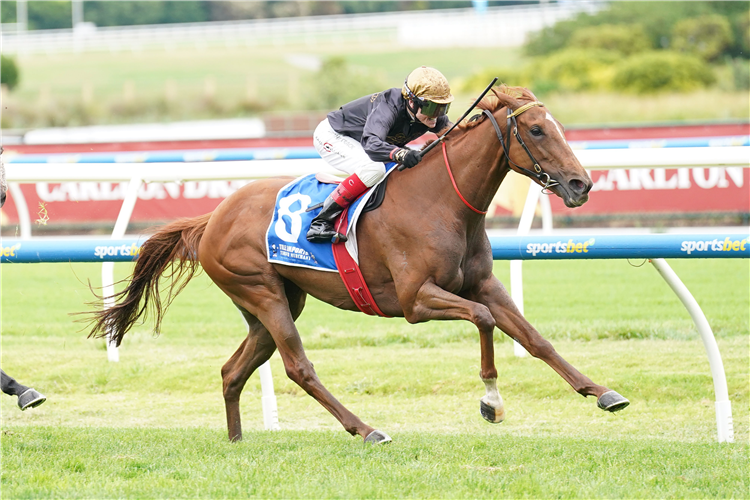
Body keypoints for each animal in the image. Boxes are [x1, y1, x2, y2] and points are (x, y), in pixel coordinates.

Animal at [86, 87, 628, 446]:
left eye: (557, 127)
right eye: (536, 129)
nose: (581, 185)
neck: (441, 202)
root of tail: (214, 215)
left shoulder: (483, 283)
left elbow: (534, 337)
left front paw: (602, 392)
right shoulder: (415, 300)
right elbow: (485, 320)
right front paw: (491, 402)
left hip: (274, 304)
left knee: (232, 370)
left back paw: (237, 441)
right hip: (262, 293)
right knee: (298, 367)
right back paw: (366, 429)